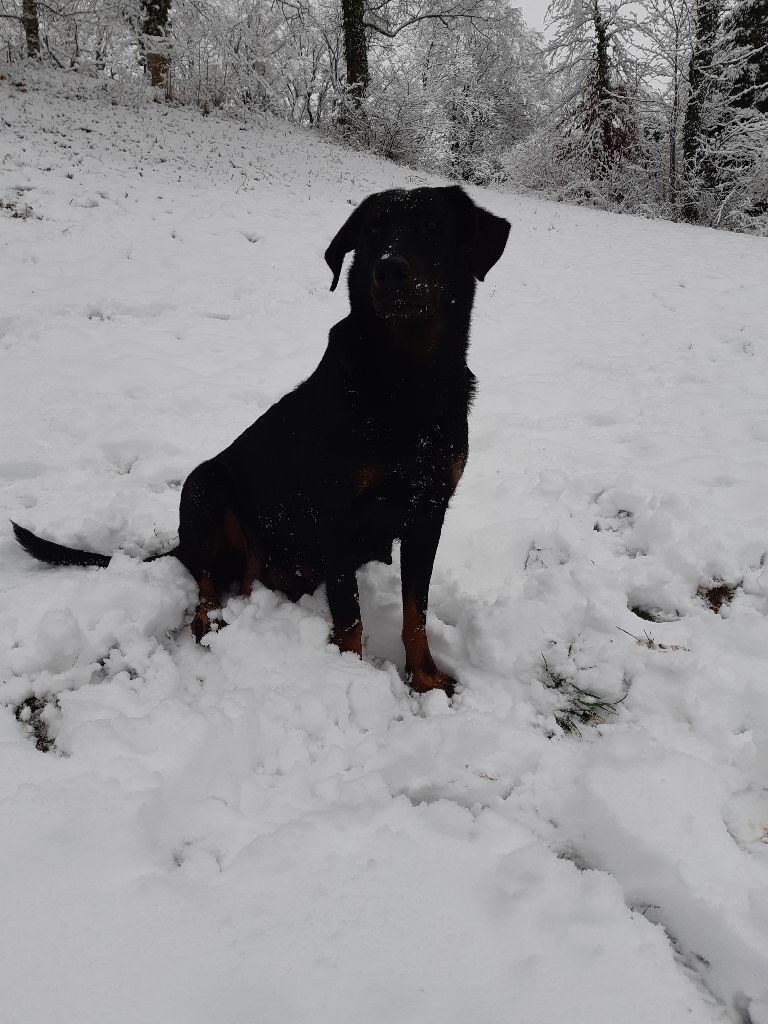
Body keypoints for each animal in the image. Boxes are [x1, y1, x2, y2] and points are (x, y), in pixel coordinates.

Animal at [12, 184, 512, 696]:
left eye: (433, 226)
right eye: (373, 230)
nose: (389, 268)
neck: (406, 381)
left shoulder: (428, 510)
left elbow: (417, 610)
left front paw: (426, 676)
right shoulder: (338, 514)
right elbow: (350, 617)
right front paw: (351, 677)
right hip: (204, 484)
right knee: (205, 576)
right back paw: (209, 618)